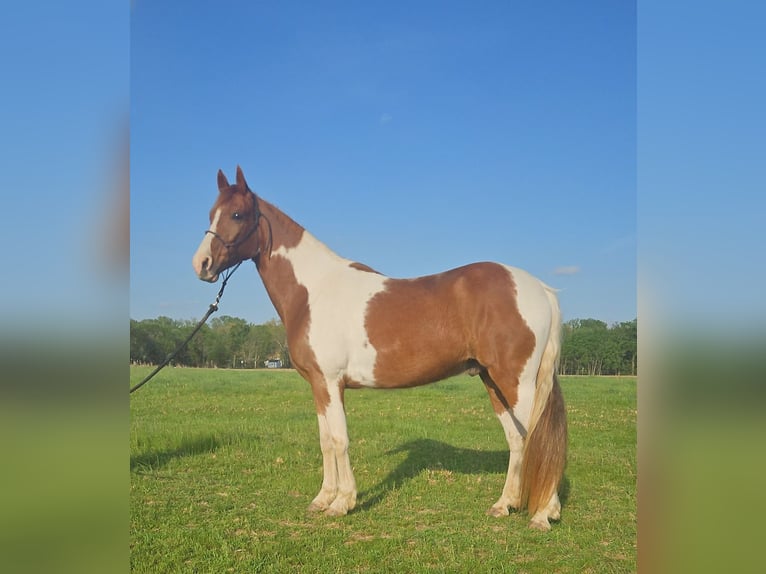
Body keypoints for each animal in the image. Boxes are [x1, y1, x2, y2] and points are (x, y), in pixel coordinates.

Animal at [192, 166, 567, 530]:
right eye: (211, 214)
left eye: (237, 214)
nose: (201, 264)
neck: (314, 290)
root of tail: (540, 288)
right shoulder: (320, 385)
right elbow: (326, 440)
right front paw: (322, 499)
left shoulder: (330, 382)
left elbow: (340, 440)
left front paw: (342, 504)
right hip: (492, 381)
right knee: (517, 440)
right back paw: (511, 505)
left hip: (517, 382)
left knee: (536, 439)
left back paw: (540, 515)